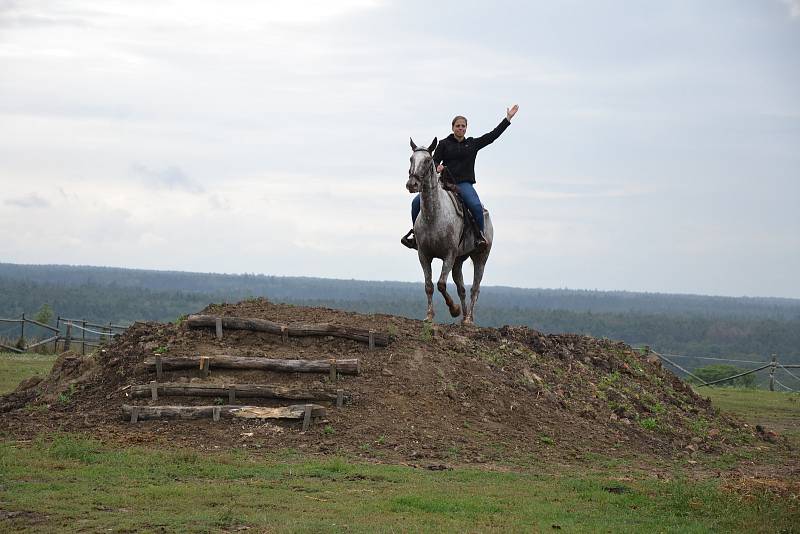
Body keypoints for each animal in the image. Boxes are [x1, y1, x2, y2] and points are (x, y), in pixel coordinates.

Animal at [410, 138, 490, 326]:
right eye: (411, 159)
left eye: (427, 160)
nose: (412, 184)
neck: (433, 216)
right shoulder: (424, 255)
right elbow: (429, 285)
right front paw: (429, 316)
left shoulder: (449, 254)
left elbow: (440, 284)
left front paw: (454, 309)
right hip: (459, 261)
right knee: (461, 289)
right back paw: (464, 316)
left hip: (480, 258)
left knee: (475, 288)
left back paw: (468, 319)